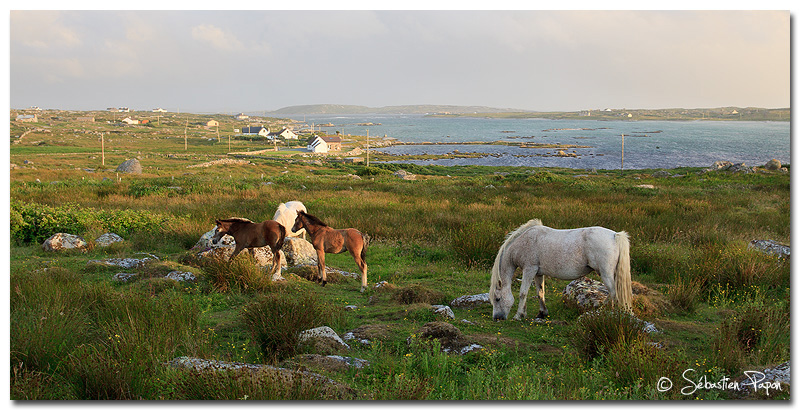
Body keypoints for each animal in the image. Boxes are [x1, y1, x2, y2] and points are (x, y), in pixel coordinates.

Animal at [488, 219, 632, 322]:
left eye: (497, 299)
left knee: (613, 293)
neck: (523, 242)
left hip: (605, 273)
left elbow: (523, 293)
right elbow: (540, 292)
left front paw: (519, 315)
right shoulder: (538, 273)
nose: (497, 318)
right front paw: (542, 313)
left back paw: (600, 311)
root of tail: (615, 235)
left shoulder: (529, 270)